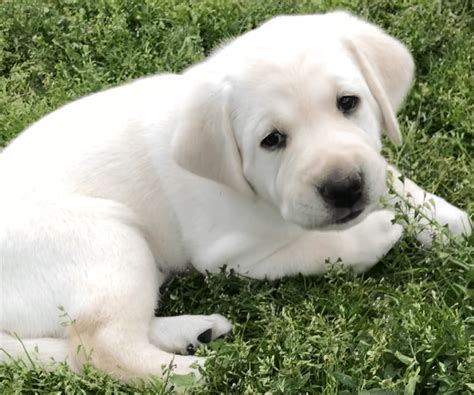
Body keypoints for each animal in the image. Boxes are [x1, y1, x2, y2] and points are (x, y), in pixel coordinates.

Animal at [0, 11, 470, 380]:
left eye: (348, 102)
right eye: (272, 140)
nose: (344, 188)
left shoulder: (369, 161)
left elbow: (393, 178)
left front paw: (447, 222)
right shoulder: (234, 257)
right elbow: (318, 247)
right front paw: (377, 233)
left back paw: (191, 332)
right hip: (109, 244)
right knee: (99, 347)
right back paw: (202, 372)